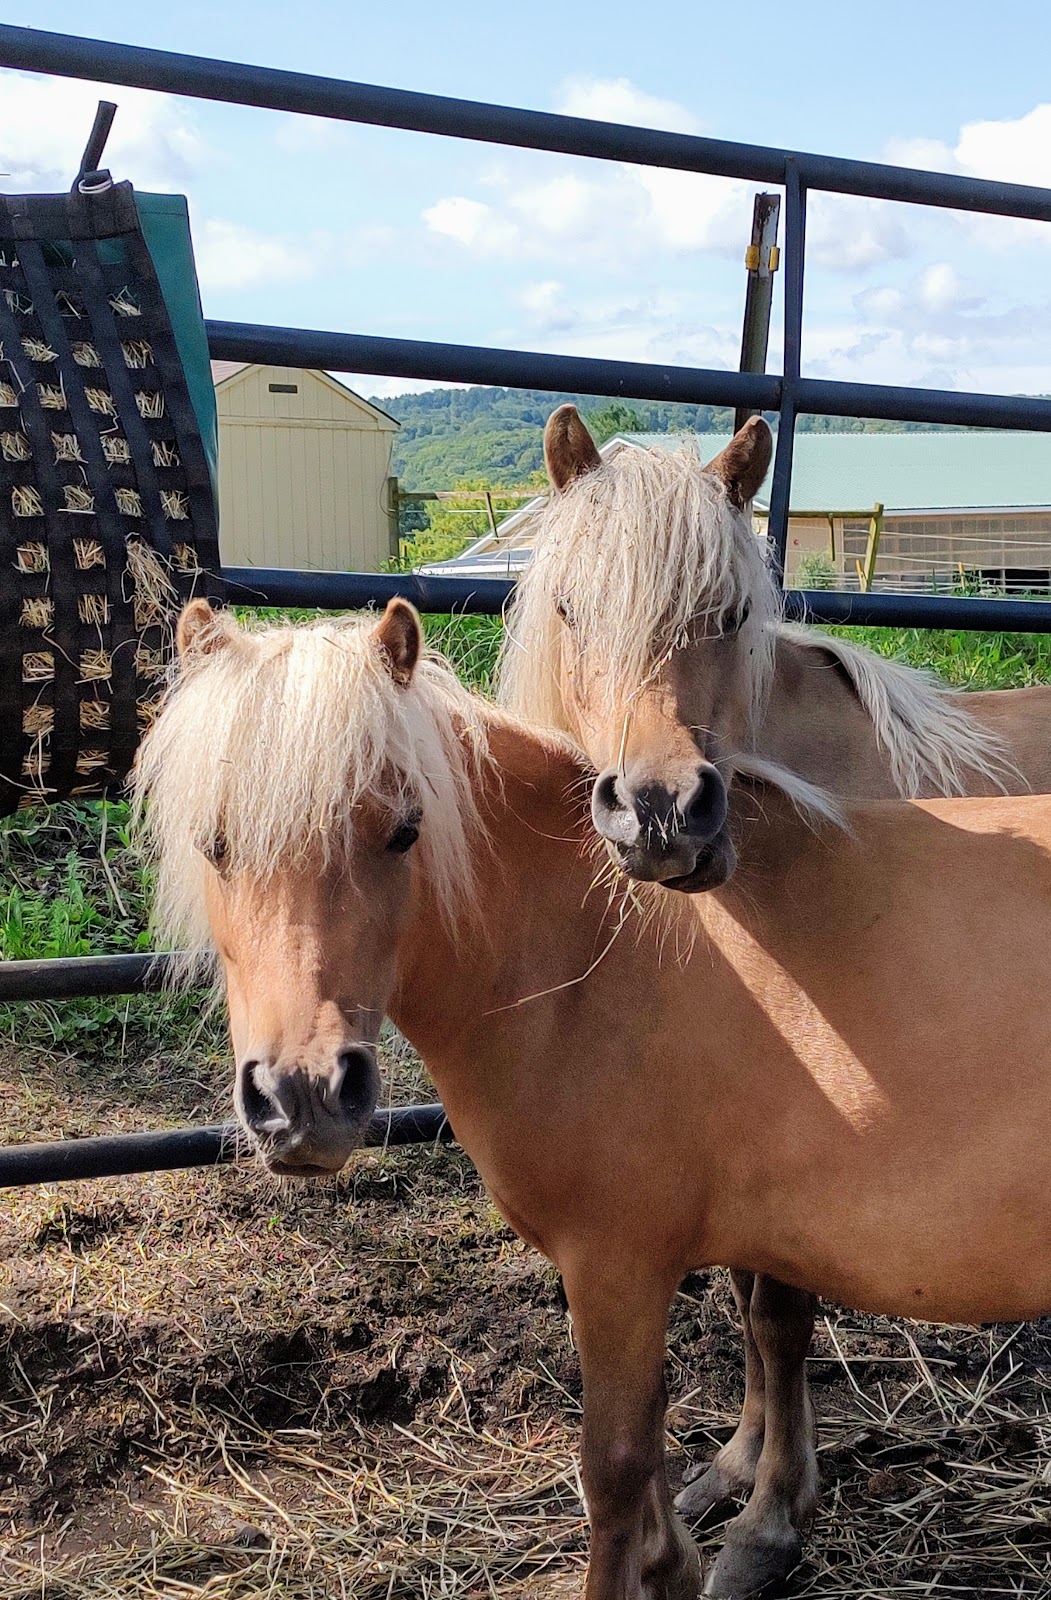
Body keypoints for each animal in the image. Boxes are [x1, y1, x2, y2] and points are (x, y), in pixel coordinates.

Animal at [137, 601, 1051, 1600]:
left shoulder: (616, 1264)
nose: (302, 1096)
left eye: (403, 831)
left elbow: (613, 1466)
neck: (594, 955)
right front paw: (679, 1559)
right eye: (214, 843)